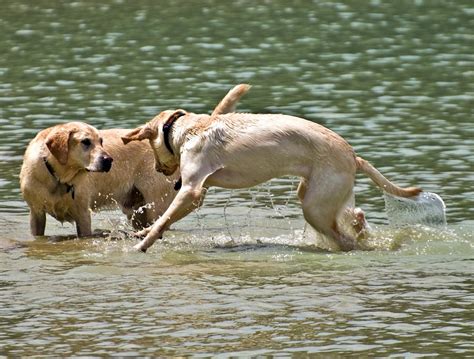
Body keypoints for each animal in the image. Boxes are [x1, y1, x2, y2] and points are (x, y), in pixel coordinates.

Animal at [122, 84, 422, 253]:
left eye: (151, 148)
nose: (160, 170)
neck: (187, 130)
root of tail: (354, 156)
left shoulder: (191, 191)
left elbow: (163, 219)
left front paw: (142, 244)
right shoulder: (194, 194)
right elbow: (164, 219)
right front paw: (144, 234)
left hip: (315, 206)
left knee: (344, 238)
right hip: (317, 195)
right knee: (355, 217)